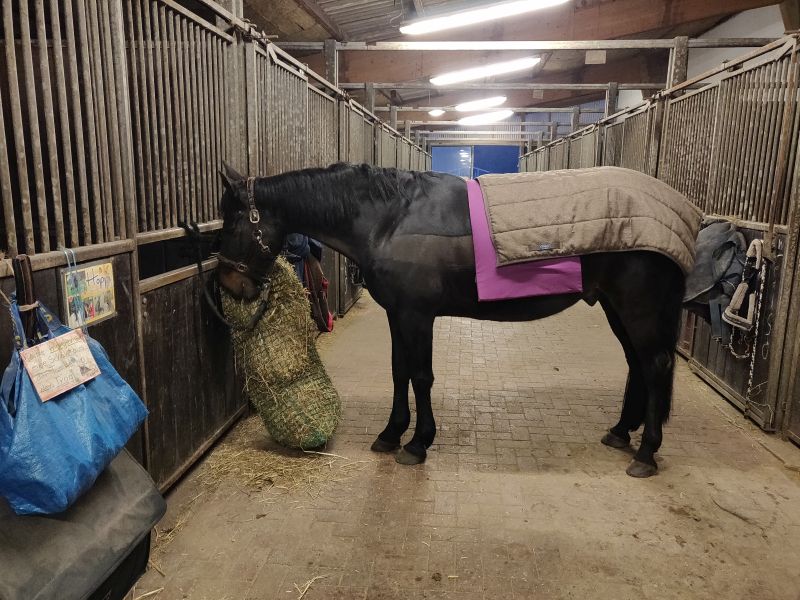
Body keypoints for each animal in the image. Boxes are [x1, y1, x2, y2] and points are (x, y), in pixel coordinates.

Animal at [216, 162, 686, 478]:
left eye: (233, 222)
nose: (230, 286)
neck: (389, 218)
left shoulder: (417, 315)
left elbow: (421, 376)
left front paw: (417, 443)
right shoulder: (397, 314)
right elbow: (399, 371)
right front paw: (391, 434)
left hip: (637, 308)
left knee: (654, 366)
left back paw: (646, 453)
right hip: (614, 307)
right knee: (637, 366)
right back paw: (621, 432)